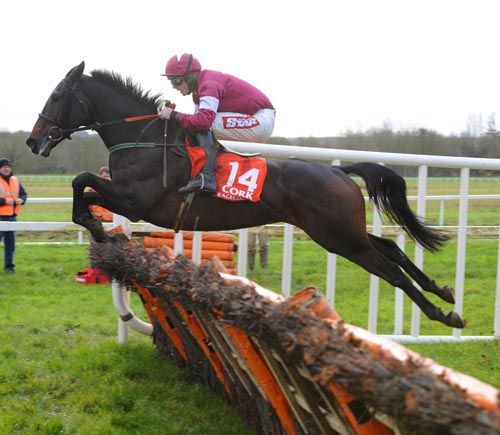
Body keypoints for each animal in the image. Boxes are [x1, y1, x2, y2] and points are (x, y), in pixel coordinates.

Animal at [26, 59, 464, 328]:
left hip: (338, 237)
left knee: (389, 268)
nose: (33, 140)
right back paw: (442, 291)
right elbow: (82, 187)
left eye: (56, 96)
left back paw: (442, 314)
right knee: (390, 248)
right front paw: (99, 229)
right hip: (341, 230)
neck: (144, 138)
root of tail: (337, 171)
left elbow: (81, 181)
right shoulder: (127, 198)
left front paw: (97, 227)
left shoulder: (135, 202)